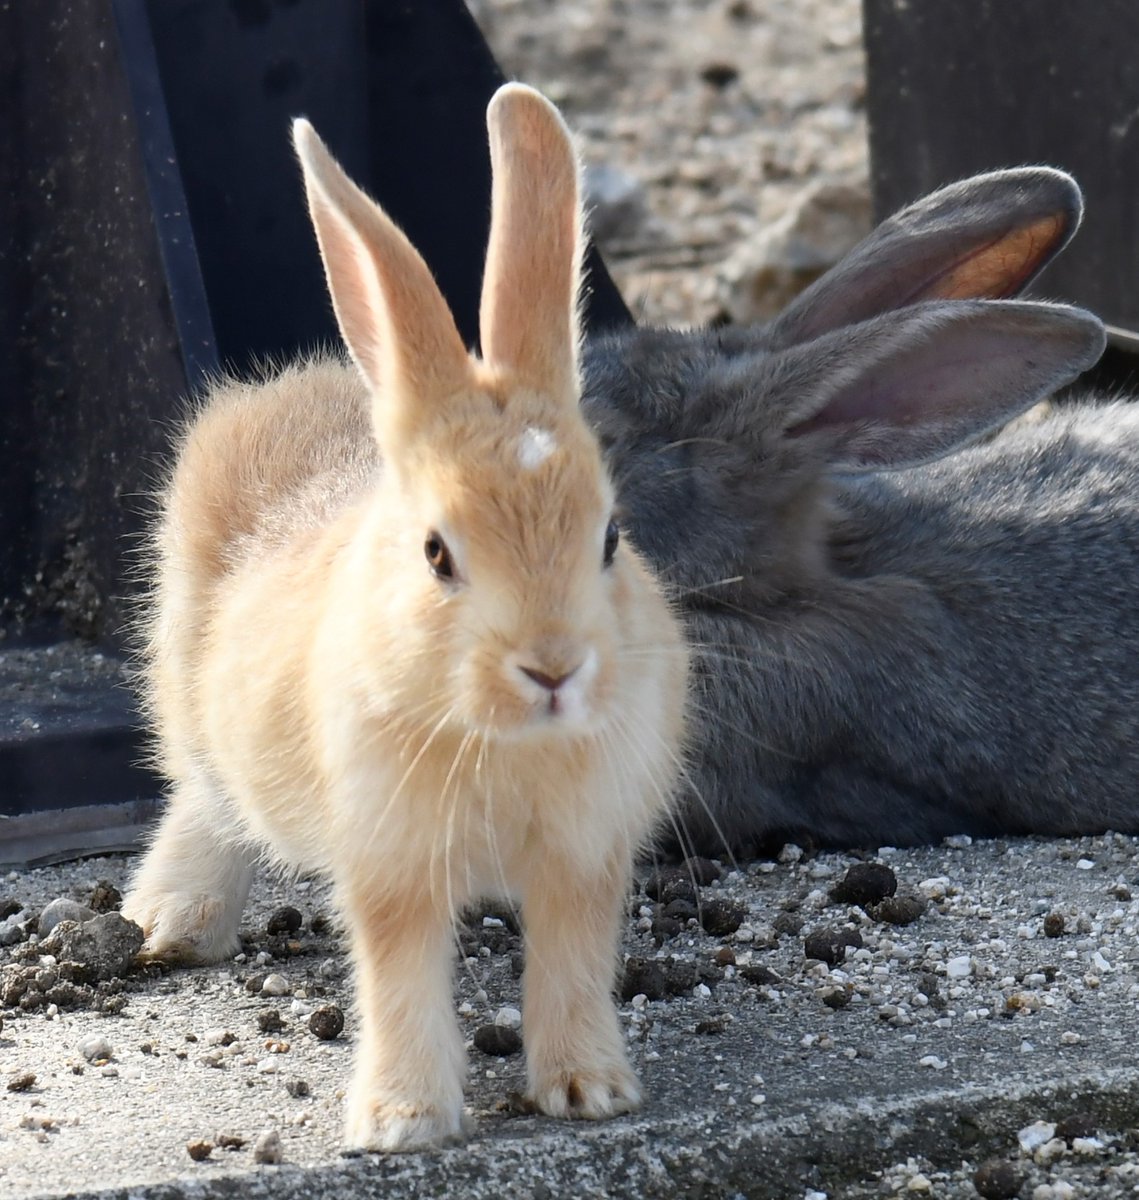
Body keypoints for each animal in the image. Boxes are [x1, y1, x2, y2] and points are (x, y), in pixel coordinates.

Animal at [121, 83, 689, 1153]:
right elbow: (399, 977)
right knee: (205, 805)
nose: (553, 667)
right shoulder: (390, 863)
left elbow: (571, 964)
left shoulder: (584, 858)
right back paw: (170, 926)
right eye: (436, 555)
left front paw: (589, 1090)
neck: (498, 737)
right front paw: (403, 1122)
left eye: (611, 536)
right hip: (194, 708)